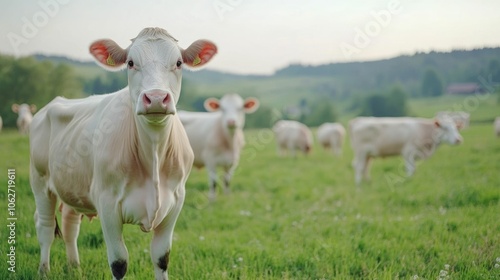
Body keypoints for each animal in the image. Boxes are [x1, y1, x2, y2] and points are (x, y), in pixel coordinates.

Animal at [28, 26, 217, 280]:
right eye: (130, 62)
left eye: (178, 63)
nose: (156, 98)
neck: (153, 152)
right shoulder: (107, 203)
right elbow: (119, 262)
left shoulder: (176, 201)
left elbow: (161, 258)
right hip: (39, 182)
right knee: (45, 228)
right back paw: (44, 270)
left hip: (73, 185)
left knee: (69, 224)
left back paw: (74, 266)